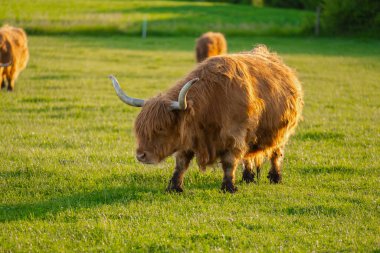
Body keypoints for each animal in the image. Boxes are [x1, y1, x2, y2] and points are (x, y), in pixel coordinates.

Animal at [109, 44, 302, 193]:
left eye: (161, 128)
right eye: (140, 129)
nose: (141, 155)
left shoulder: (235, 136)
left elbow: (229, 162)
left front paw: (228, 187)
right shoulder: (187, 136)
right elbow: (181, 163)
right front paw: (174, 187)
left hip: (282, 133)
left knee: (276, 153)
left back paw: (275, 178)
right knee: (249, 156)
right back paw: (248, 177)